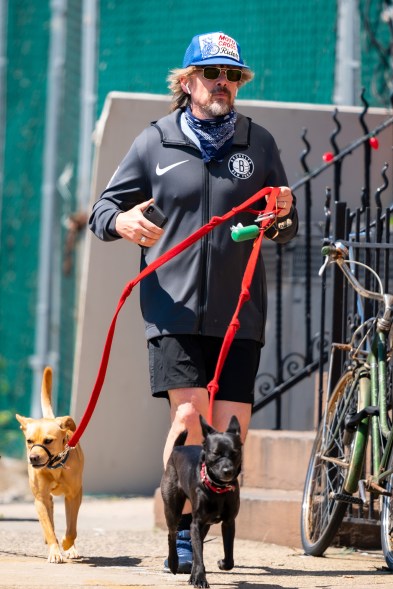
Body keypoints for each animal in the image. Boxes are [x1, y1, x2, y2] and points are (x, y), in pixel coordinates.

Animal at [16, 366, 83, 564]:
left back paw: (70, 548)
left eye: (48, 441)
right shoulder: (41, 499)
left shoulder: (74, 495)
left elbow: (72, 528)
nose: (33, 458)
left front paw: (67, 544)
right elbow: (48, 527)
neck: (55, 468)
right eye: (29, 441)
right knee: (50, 521)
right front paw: (55, 551)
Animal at [160, 414, 242, 588]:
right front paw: (199, 578)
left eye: (235, 453)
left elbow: (229, 557)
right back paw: (174, 563)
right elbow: (198, 556)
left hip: (205, 526)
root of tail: (177, 448)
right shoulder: (196, 524)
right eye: (215, 453)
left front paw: (221, 563)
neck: (218, 489)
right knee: (172, 535)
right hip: (172, 509)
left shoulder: (229, 522)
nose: (228, 471)